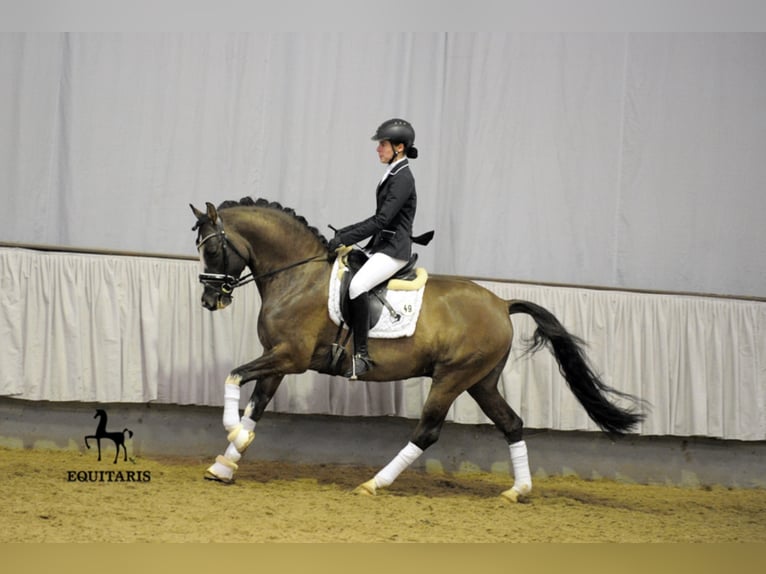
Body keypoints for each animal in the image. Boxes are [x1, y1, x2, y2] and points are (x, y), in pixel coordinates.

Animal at [190, 197, 645, 502]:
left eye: (211, 249)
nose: (210, 301)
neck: (298, 277)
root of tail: (502, 303)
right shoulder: (280, 359)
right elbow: (256, 407)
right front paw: (225, 464)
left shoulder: (291, 357)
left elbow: (233, 376)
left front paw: (231, 435)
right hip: (481, 381)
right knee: (512, 424)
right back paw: (518, 491)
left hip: (452, 377)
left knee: (427, 431)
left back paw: (374, 483)